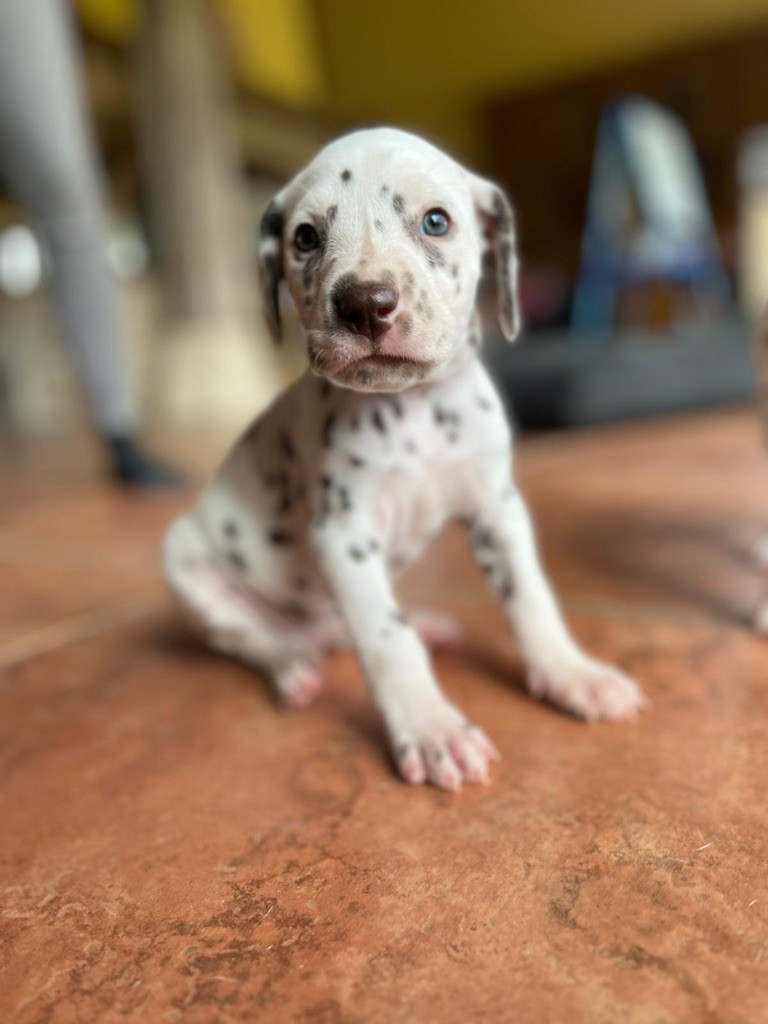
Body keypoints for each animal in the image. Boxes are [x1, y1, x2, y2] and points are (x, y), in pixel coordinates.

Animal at [163, 128, 645, 790]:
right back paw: (294, 665)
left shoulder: (499, 510)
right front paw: (431, 726)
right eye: (305, 237)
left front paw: (572, 673)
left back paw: (422, 623)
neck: (414, 410)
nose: (366, 304)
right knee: (252, 639)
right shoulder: (344, 539)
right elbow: (387, 641)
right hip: (186, 565)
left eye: (436, 221)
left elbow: (532, 597)